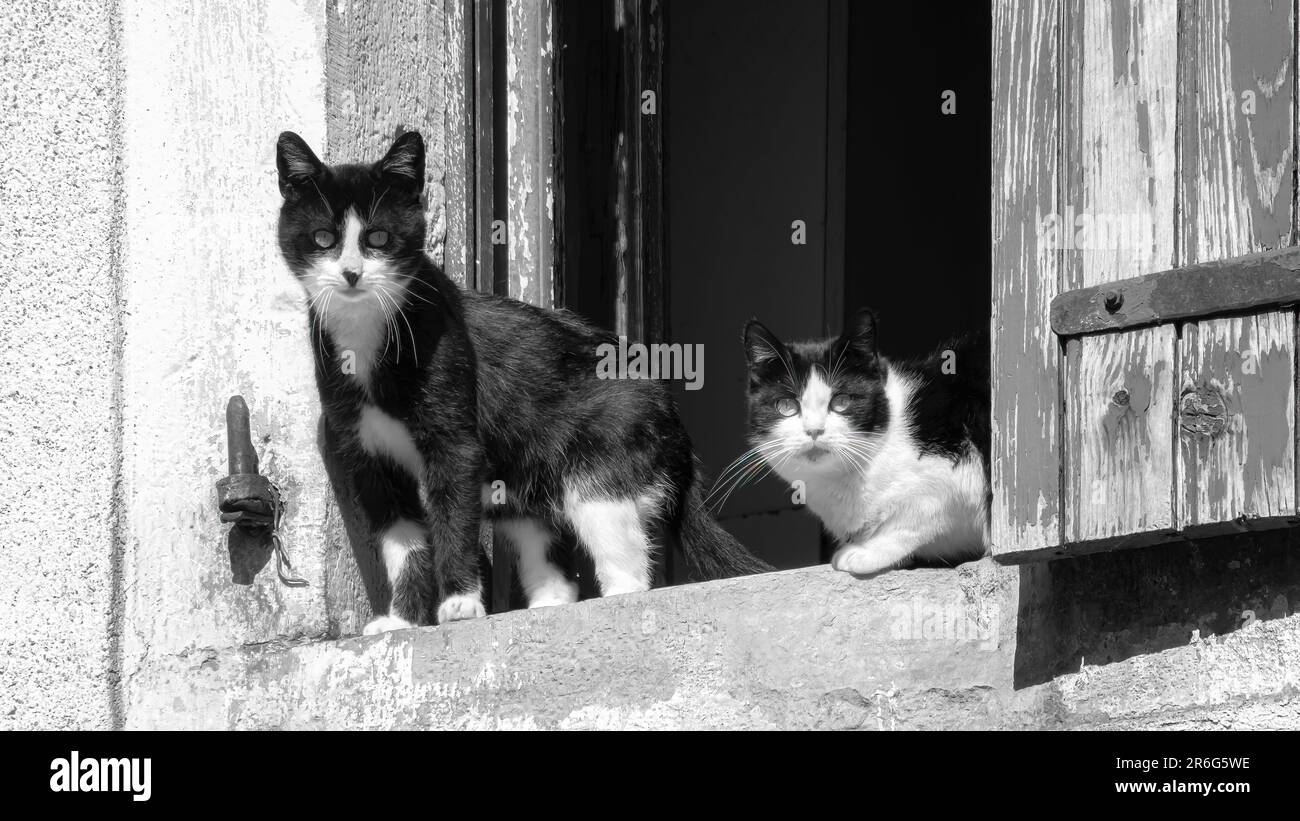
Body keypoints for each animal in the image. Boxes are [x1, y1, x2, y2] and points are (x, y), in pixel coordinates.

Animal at [271, 129, 759, 633]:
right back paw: (546, 605)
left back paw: (612, 602)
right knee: (541, 540)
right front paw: (401, 623)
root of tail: (674, 422)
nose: (351, 273)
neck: (367, 338)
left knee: (620, 550)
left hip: (608, 456)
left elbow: (453, 519)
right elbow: (401, 543)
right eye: (323, 237)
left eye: (378, 237)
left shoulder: (455, 440)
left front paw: (460, 604)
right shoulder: (367, 459)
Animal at [738, 310, 987, 574]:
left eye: (842, 401)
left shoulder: (951, 458)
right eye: (786, 406)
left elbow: (922, 512)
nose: (814, 430)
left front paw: (865, 551)